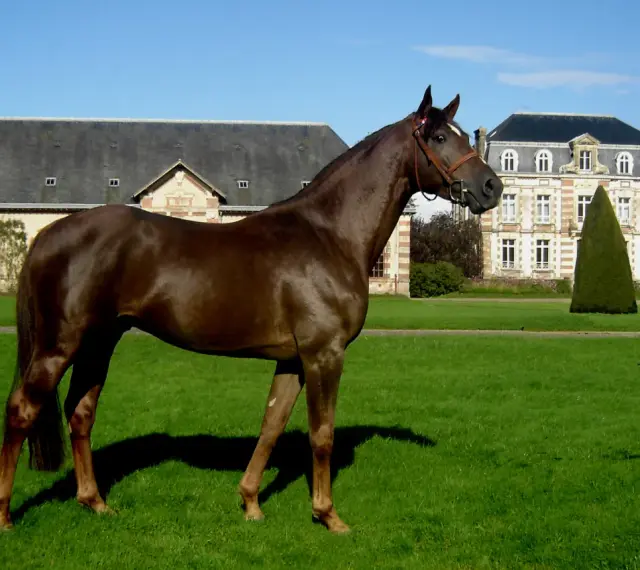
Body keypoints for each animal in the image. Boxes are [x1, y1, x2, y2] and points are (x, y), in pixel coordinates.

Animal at [0, 86, 503, 533]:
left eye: (462, 134)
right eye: (437, 137)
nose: (492, 187)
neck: (329, 234)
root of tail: (49, 234)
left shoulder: (292, 360)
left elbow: (271, 425)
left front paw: (251, 504)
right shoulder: (324, 355)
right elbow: (322, 434)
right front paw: (328, 516)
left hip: (99, 343)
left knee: (80, 412)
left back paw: (95, 502)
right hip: (58, 346)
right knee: (23, 410)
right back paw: (7, 516)